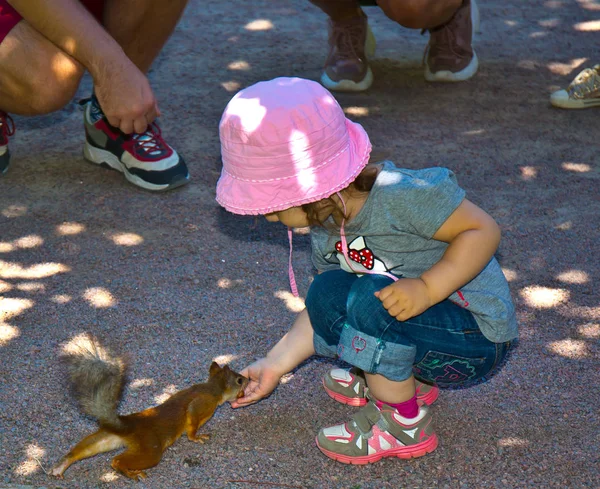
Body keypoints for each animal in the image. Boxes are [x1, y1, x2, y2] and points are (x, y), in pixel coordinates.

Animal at [50, 334, 247, 478]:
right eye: (239, 380)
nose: (248, 380)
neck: (212, 389)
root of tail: (128, 424)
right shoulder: (201, 404)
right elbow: (191, 422)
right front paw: (197, 437)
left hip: (108, 437)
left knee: (85, 448)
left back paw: (62, 465)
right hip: (150, 448)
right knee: (118, 460)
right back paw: (129, 472)